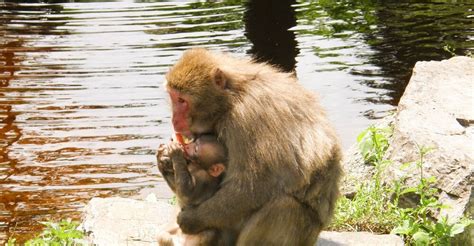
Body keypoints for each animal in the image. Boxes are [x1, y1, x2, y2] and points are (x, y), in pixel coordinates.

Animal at [161, 48, 342, 244]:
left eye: (182, 100)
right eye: (173, 97)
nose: (174, 120)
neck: (232, 97)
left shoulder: (247, 116)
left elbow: (253, 184)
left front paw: (193, 219)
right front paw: (165, 159)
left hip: (302, 233)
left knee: (283, 206)